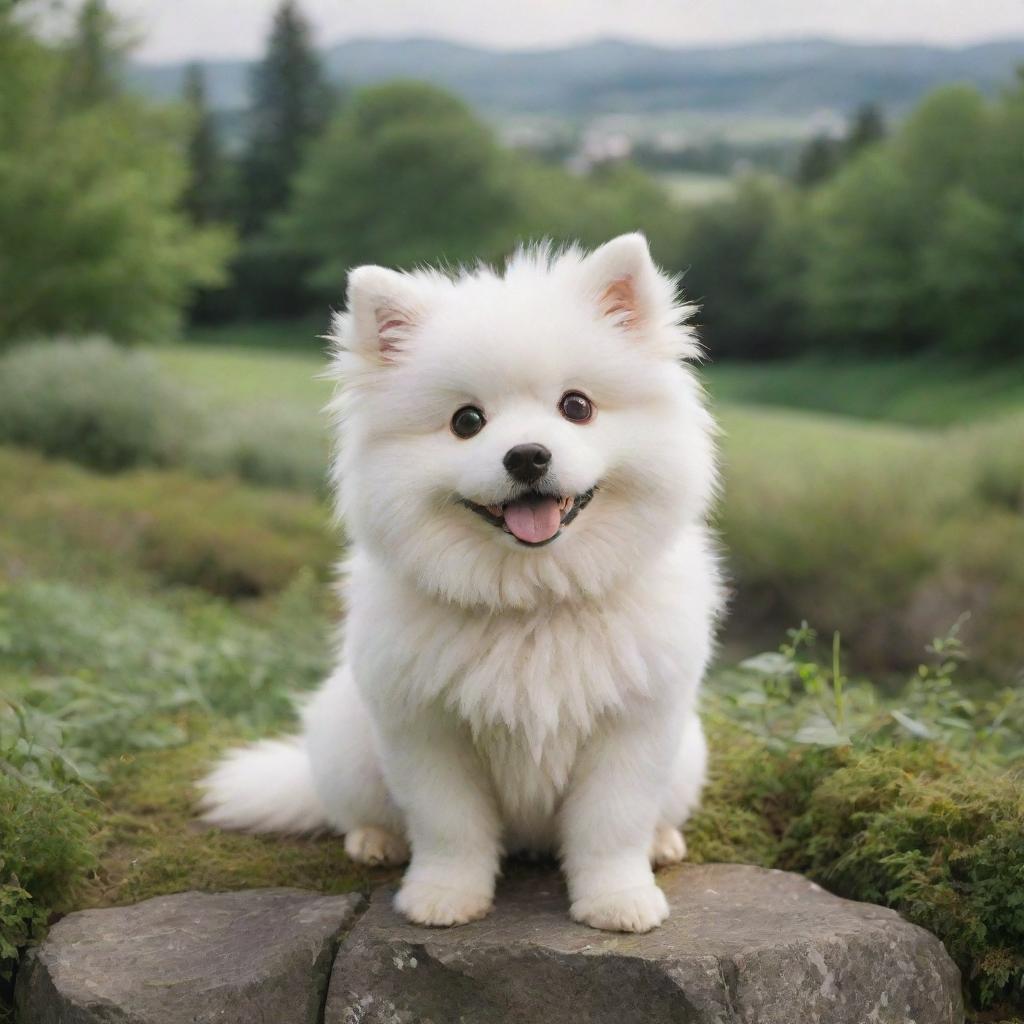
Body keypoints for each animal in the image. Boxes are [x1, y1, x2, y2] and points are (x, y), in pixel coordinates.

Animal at [199, 234, 724, 937]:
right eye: (466, 421)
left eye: (576, 406)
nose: (527, 455)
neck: (532, 602)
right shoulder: (427, 731)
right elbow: (450, 827)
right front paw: (444, 898)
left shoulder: (633, 730)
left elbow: (611, 826)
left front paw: (618, 901)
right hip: (345, 738)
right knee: (356, 810)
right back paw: (374, 841)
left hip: (689, 755)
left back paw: (663, 843)